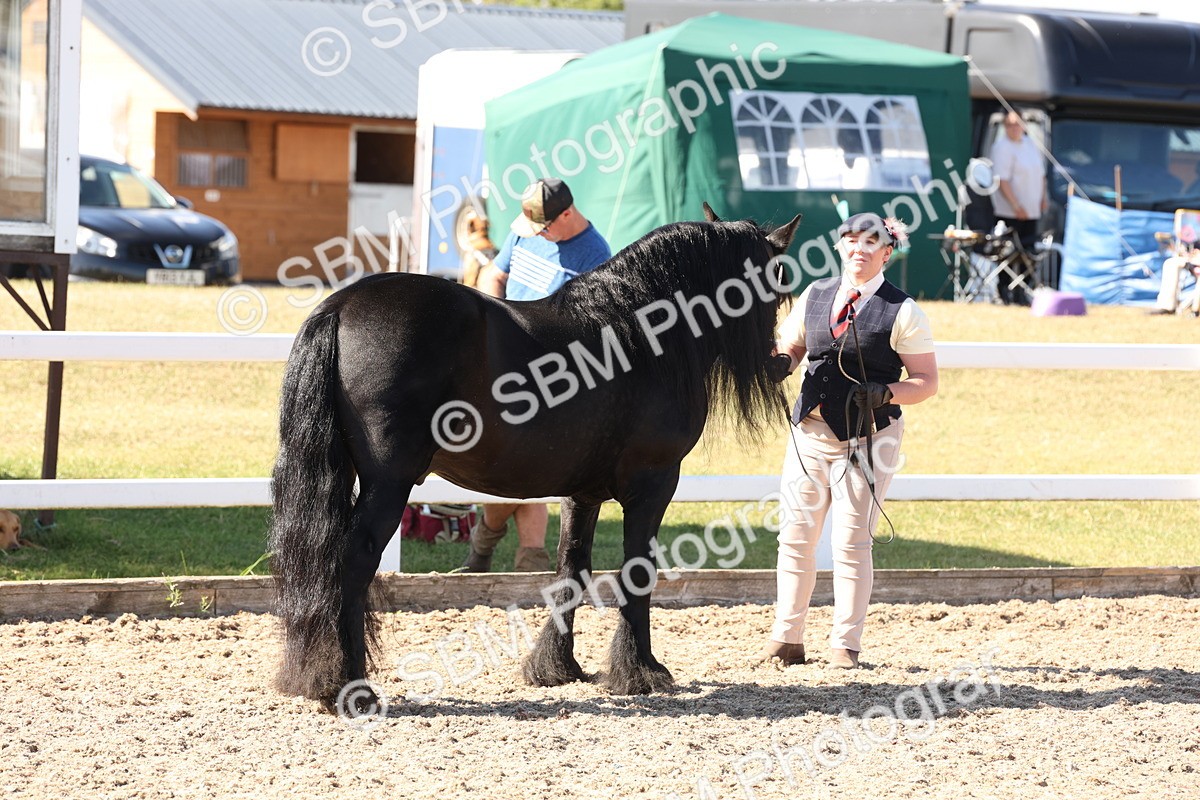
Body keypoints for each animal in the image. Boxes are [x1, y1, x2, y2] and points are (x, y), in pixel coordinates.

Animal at [268, 204, 801, 706]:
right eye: (774, 285)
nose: (780, 362)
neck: (638, 334)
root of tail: (342, 305)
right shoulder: (653, 483)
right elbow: (636, 572)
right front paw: (640, 671)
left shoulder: (582, 494)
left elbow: (572, 571)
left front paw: (555, 667)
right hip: (389, 484)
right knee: (353, 564)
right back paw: (351, 687)